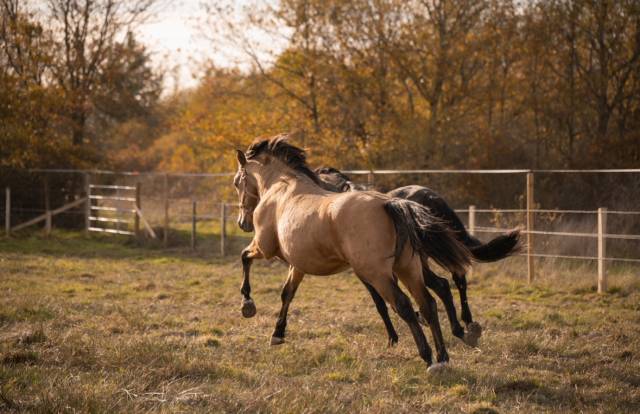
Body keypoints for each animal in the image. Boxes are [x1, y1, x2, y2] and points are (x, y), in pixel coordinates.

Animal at [233, 134, 475, 371]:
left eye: (237, 182)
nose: (242, 223)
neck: (282, 187)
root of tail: (390, 203)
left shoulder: (264, 247)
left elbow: (244, 257)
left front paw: (247, 304)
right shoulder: (298, 264)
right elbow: (287, 294)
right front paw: (278, 333)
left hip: (379, 274)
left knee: (405, 305)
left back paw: (428, 357)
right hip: (408, 268)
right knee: (428, 302)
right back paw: (443, 357)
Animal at [314, 167, 521, 345]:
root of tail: (431, 198)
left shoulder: (368, 273)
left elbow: (381, 304)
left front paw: (393, 338)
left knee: (443, 284)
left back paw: (459, 328)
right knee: (455, 279)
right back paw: (466, 325)